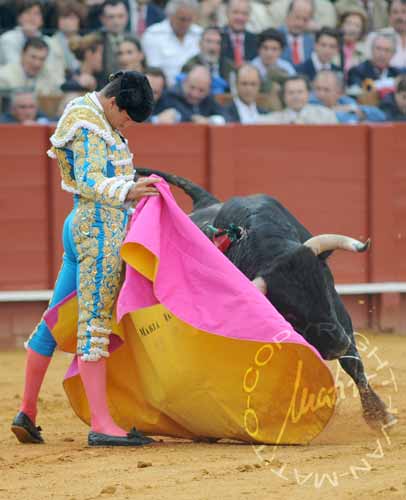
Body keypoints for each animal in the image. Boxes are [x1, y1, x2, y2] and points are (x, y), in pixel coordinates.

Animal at [136, 168, 396, 430]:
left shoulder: (341, 317)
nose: (337, 344)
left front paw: (379, 415)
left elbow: (352, 362)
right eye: (290, 314)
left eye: (324, 287)